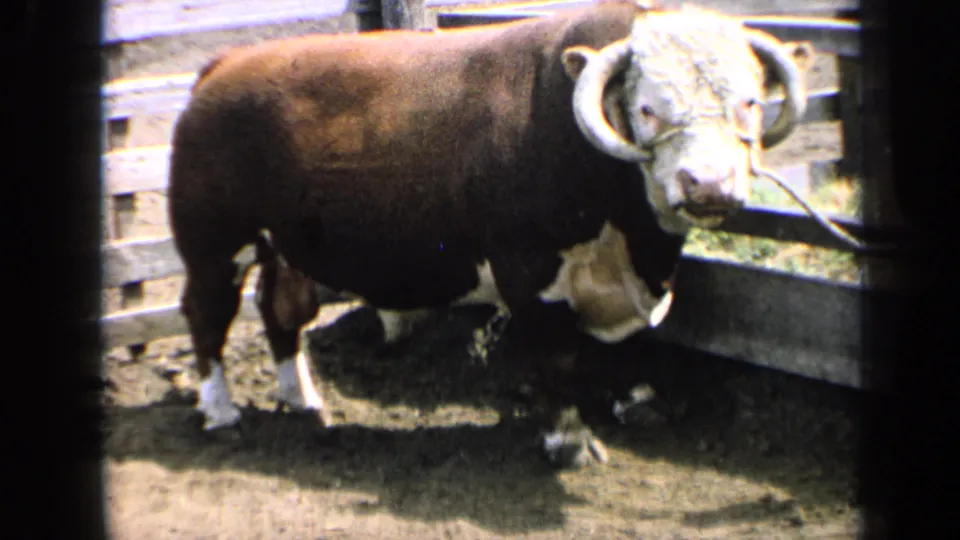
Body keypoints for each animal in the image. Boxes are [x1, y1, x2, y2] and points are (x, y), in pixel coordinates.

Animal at [168, 0, 810, 469]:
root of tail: (224, 66)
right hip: (212, 243)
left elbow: (627, 348)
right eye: (648, 109)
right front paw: (569, 443)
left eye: (750, 102)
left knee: (279, 310)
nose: (709, 184)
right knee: (207, 314)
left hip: (282, 246)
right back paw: (221, 412)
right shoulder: (529, 273)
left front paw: (637, 406)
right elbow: (557, 357)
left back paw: (300, 397)